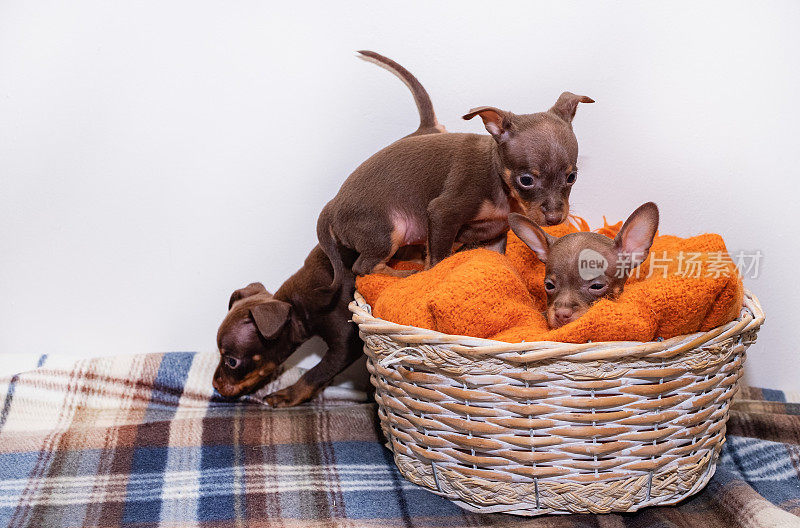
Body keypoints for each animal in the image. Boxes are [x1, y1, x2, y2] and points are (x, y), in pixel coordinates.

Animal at [214, 245, 360, 406]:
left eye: (231, 361)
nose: (214, 385)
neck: (297, 307)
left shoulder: (346, 345)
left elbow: (316, 373)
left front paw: (288, 396)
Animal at [316, 50, 592, 290]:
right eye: (525, 180)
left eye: (572, 177)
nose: (555, 218)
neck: (499, 183)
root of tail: (332, 204)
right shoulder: (443, 213)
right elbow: (438, 261)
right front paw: (430, 277)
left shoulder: (494, 234)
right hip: (386, 232)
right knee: (363, 267)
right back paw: (405, 274)